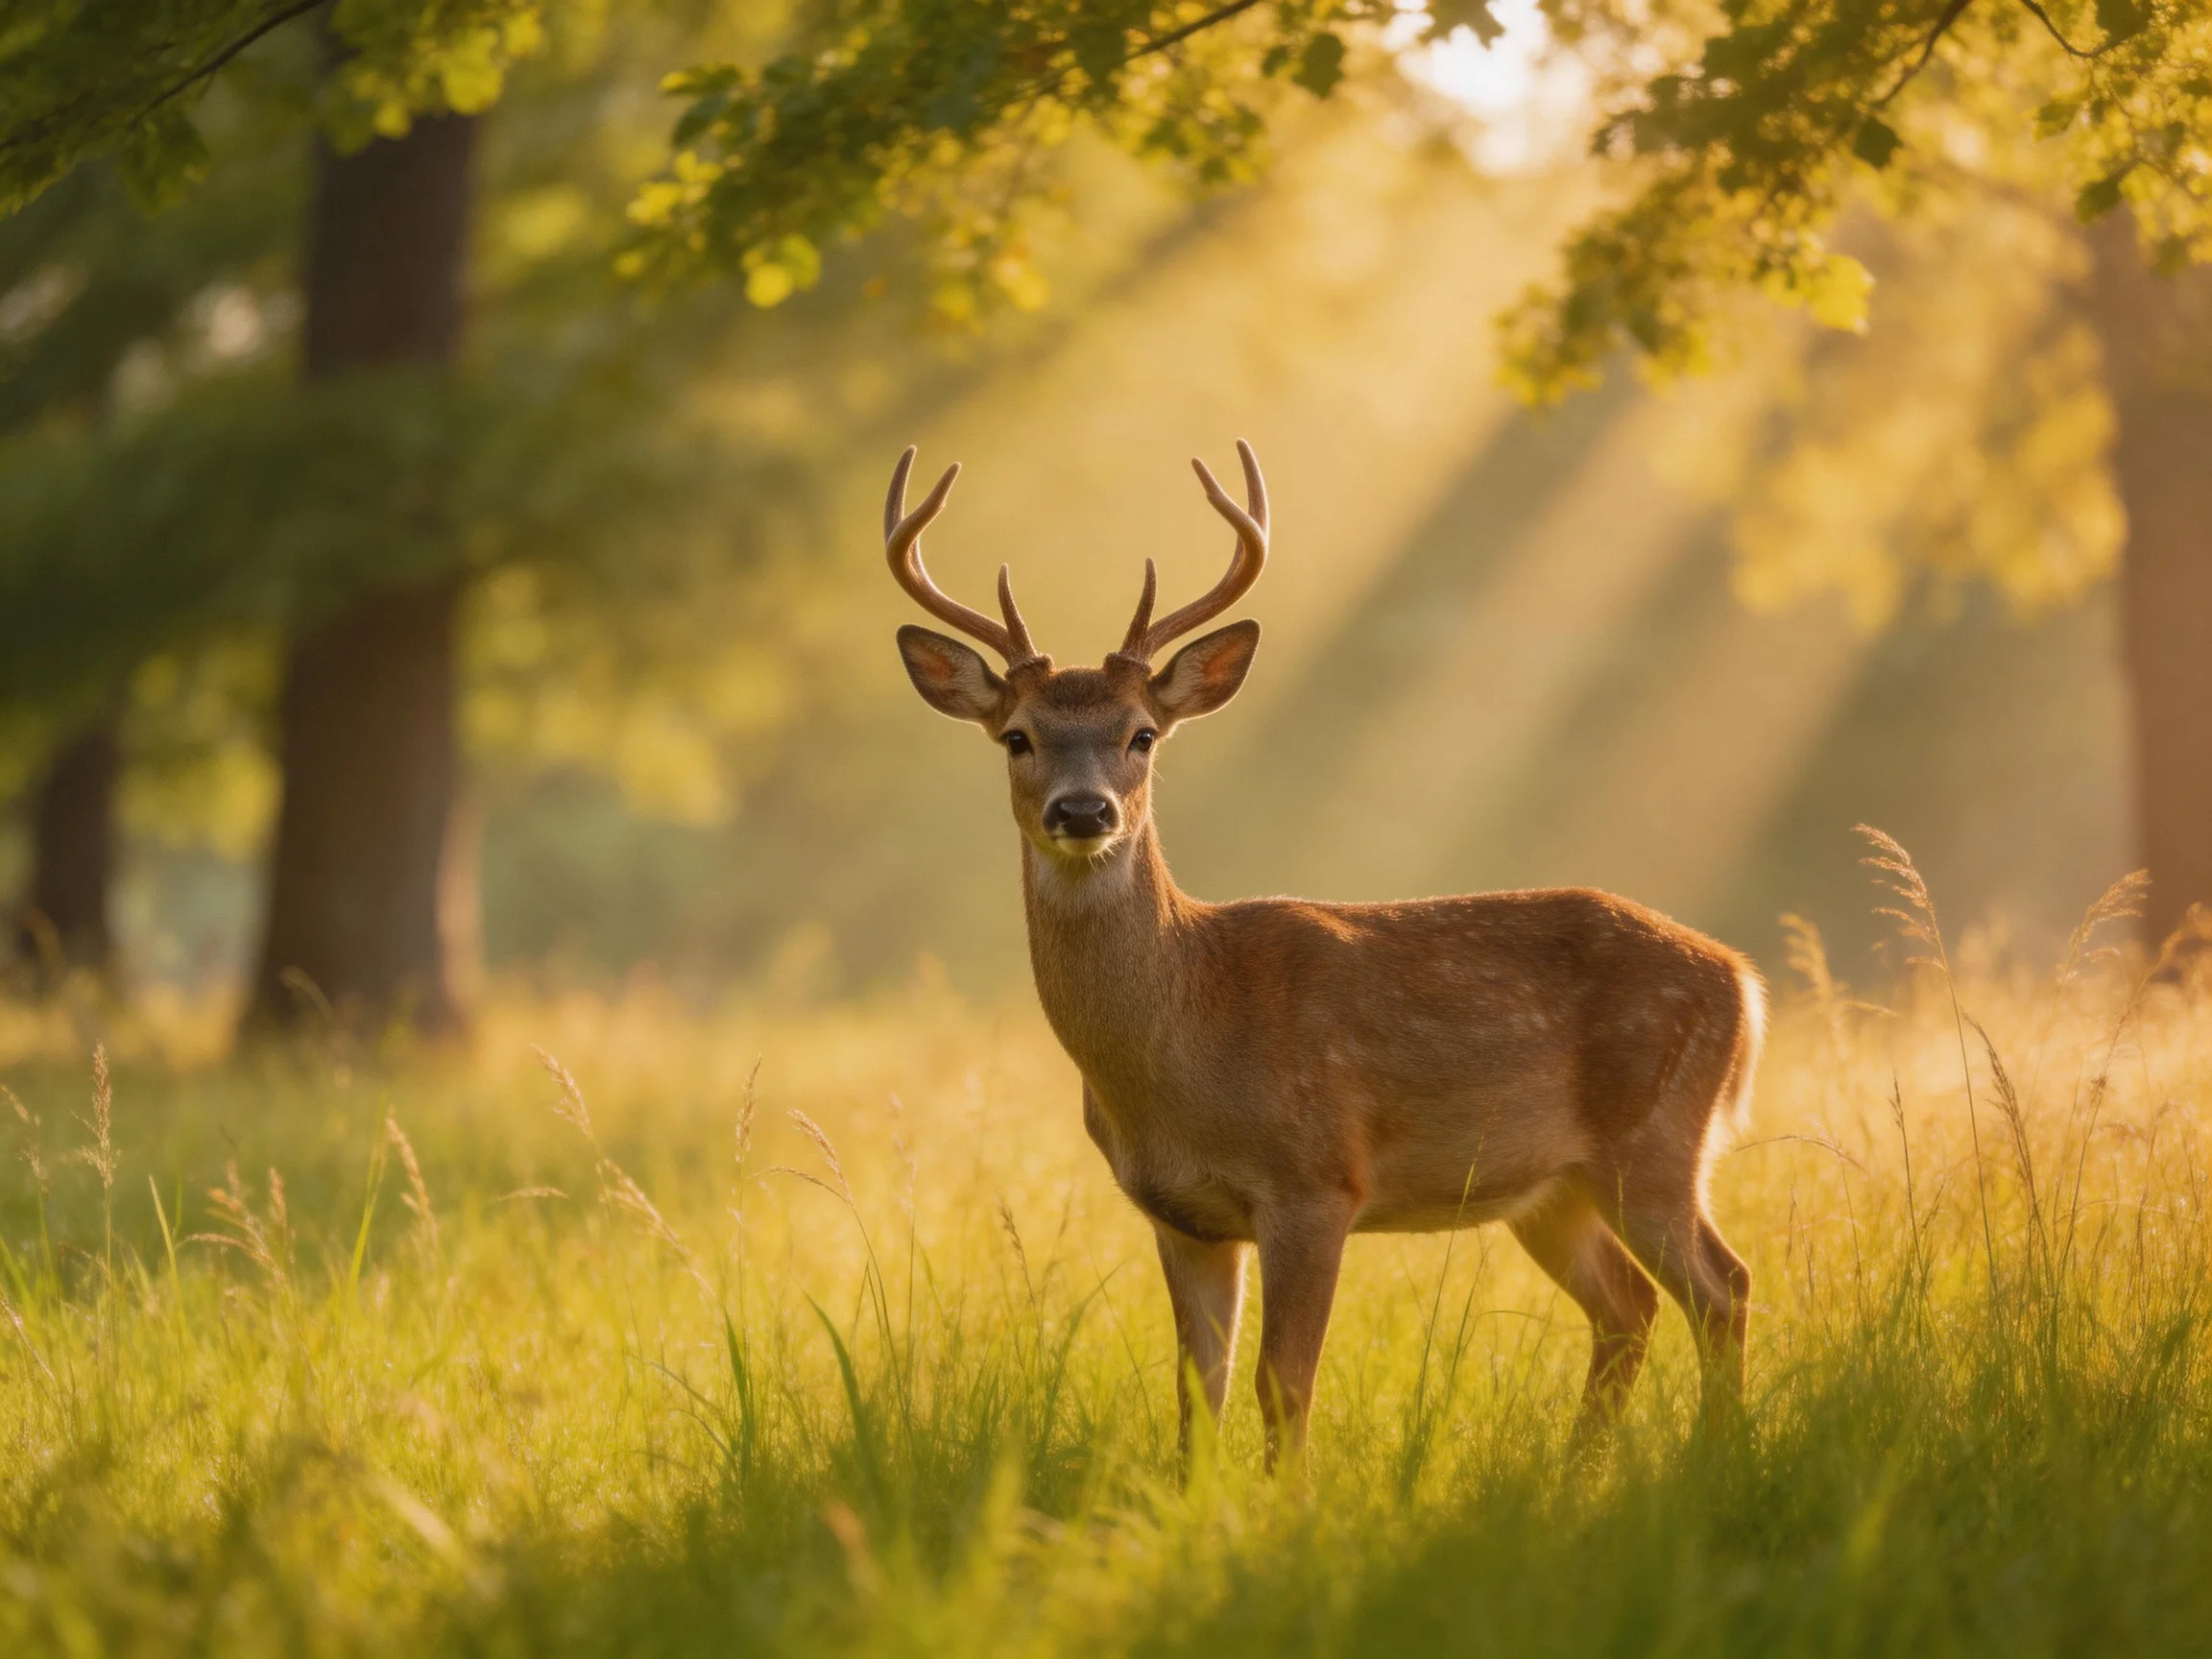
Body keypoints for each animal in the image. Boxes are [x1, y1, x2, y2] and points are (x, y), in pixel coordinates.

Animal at [886, 439, 1765, 1469]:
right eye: (1018, 737)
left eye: (1141, 735)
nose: (1083, 810)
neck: (1184, 1043)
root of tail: (1742, 980)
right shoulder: (1180, 1215)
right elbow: (1199, 1395)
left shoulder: (1317, 1180)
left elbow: (1284, 1383)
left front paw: (1288, 1503)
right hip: (1550, 1186)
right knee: (1629, 1307)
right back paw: (1575, 1474)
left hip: (1656, 1137)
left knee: (1724, 1288)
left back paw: (1712, 1458)